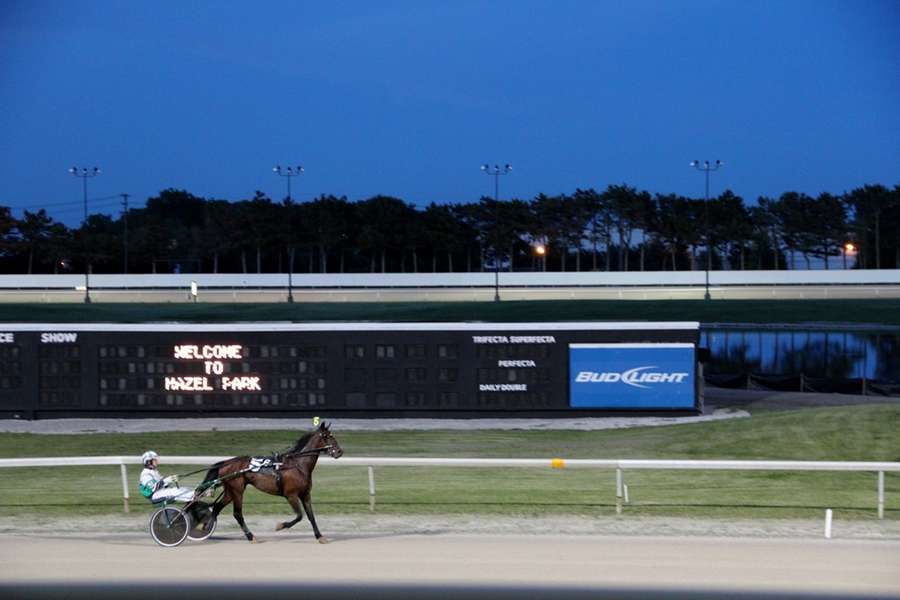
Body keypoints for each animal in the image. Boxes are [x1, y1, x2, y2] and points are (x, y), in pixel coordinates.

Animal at [201, 422, 344, 544]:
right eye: (326, 436)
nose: (339, 451)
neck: (297, 465)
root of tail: (226, 463)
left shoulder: (305, 494)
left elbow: (311, 516)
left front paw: (320, 537)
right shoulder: (291, 495)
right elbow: (299, 516)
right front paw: (280, 526)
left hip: (230, 491)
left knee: (216, 508)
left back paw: (207, 527)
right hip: (237, 491)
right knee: (237, 514)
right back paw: (251, 537)